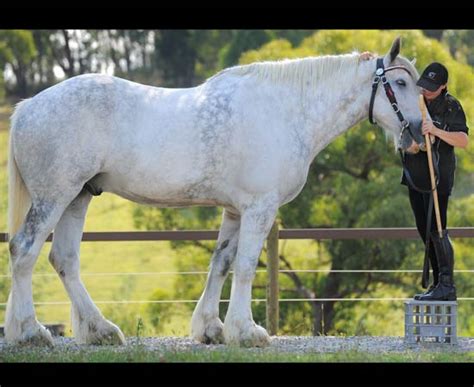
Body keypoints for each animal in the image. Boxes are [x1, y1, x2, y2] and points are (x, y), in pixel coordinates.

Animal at [5, 37, 424, 348]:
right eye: (401, 84)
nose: (419, 132)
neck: (286, 111)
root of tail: (27, 108)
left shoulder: (236, 210)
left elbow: (221, 264)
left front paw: (212, 329)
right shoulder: (259, 208)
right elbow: (246, 265)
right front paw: (247, 331)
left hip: (78, 197)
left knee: (64, 260)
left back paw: (100, 331)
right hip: (55, 196)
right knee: (24, 251)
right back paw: (31, 333)